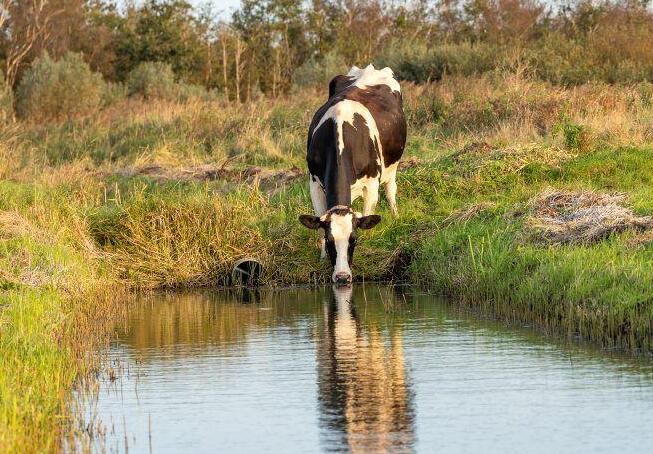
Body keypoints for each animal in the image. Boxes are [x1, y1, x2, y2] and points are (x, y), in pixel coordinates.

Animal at [298, 64, 404, 284]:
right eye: (329, 239)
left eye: (353, 239)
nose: (342, 276)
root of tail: (369, 68)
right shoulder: (314, 183)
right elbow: (319, 220)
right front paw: (322, 257)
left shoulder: (371, 184)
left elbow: (367, 213)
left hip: (393, 166)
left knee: (391, 190)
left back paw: (396, 215)